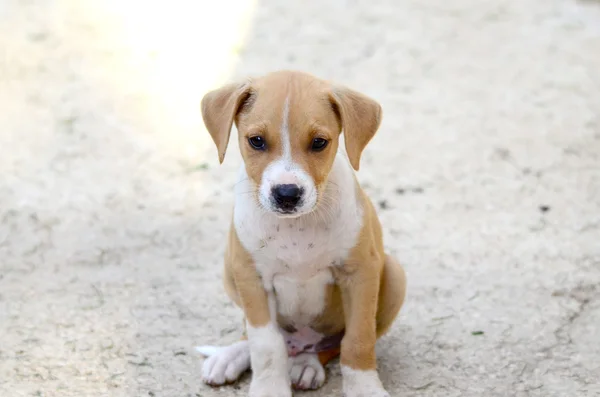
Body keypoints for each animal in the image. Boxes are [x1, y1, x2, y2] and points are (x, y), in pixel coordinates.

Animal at [197, 69, 408, 394]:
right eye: (256, 141)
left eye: (319, 142)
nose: (287, 194)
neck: (297, 226)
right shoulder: (251, 278)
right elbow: (265, 344)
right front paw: (269, 389)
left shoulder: (359, 273)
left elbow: (358, 339)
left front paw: (364, 388)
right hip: (230, 272)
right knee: (261, 336)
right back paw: (231, 356)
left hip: (394, 275)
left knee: (328, 346)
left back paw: (306, 365)